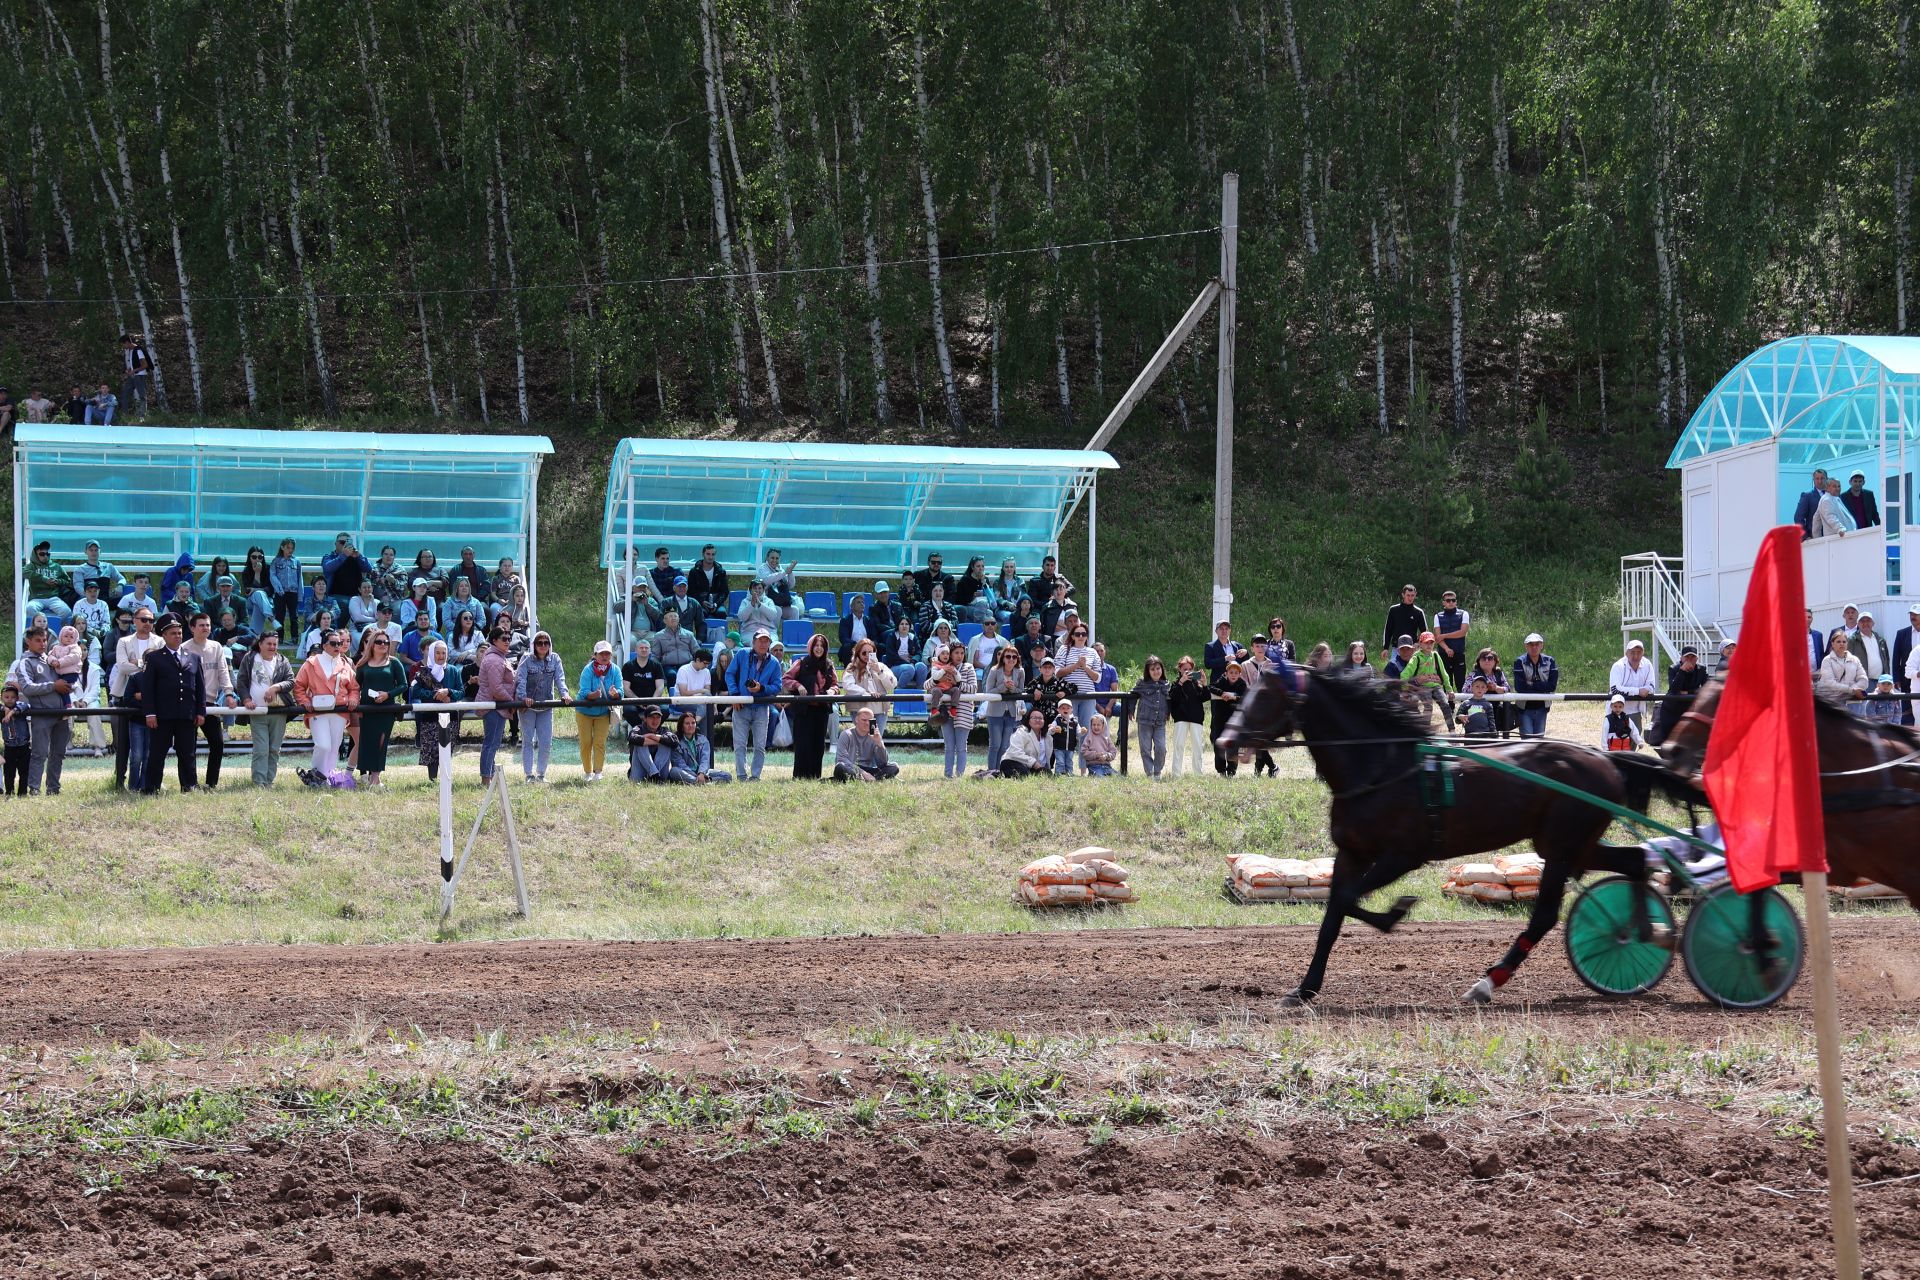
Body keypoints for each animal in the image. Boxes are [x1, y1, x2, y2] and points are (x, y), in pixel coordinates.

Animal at [1221, 671, 1689, 1013]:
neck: (1380, 767)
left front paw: (1396, 912)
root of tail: (1605, 756)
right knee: (1635, 860)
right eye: (1244, 692)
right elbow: (1333, 915)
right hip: (1572, 842)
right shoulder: (1351, 853)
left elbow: (1348, 900)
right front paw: (1304, 989)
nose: (1225, 740)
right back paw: (1642, 931)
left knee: (1545, 915)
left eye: (1266, 696)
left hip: (1562, 844)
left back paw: (1489, 983)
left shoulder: (1404, 854)